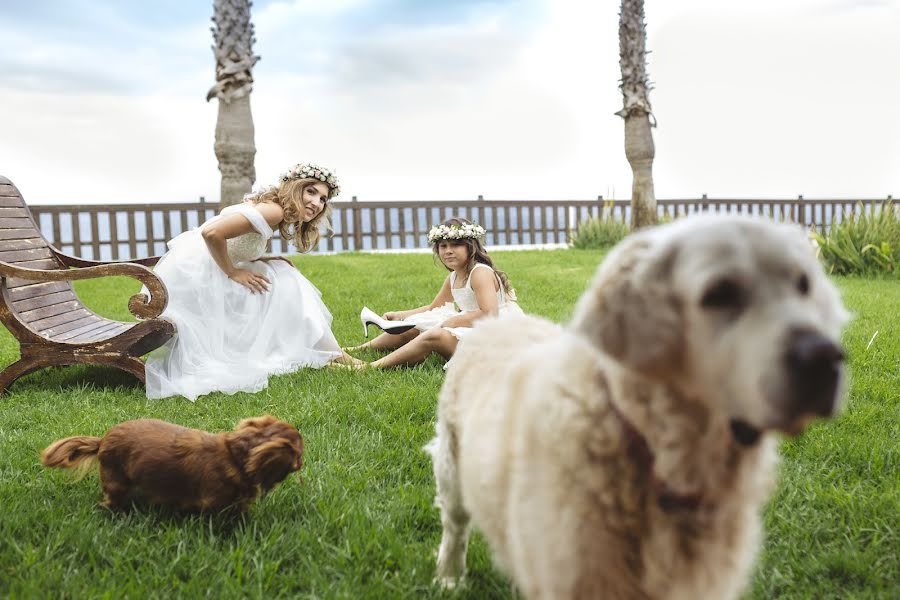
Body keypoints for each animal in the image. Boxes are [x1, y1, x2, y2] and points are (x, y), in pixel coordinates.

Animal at [41, 414, 302, 512]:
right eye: (298, 453)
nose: (302, 463)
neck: (234, 455)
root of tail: (103, 439)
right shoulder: (213, 501)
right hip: (116, 481)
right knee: (112, 499)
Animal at [428, 216, 852, 600]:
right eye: (719, 293)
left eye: (803, 285)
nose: (825, 357)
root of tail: (493, 324)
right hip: (452, 471)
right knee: (455, 527)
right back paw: (448, 578)